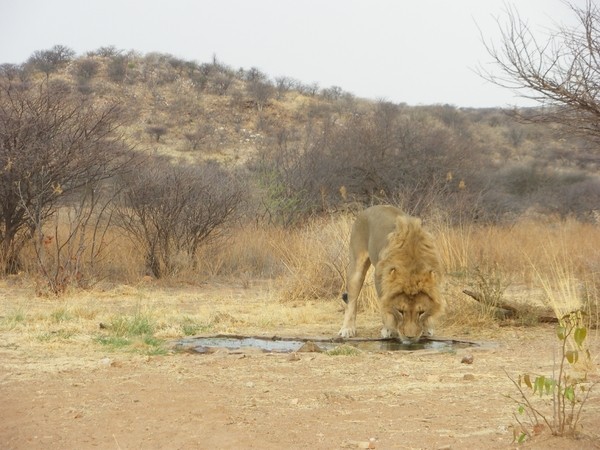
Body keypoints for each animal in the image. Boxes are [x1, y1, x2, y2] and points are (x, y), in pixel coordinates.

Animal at [338, 207, 446, 342]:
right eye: (400, 311)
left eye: (421, 312)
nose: (410, 337)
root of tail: (369, 209)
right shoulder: (378, 278)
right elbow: (384, 305)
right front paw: (389, 329)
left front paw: (426, 329)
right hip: (356, 266)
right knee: (351, 301)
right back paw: (347, 329)